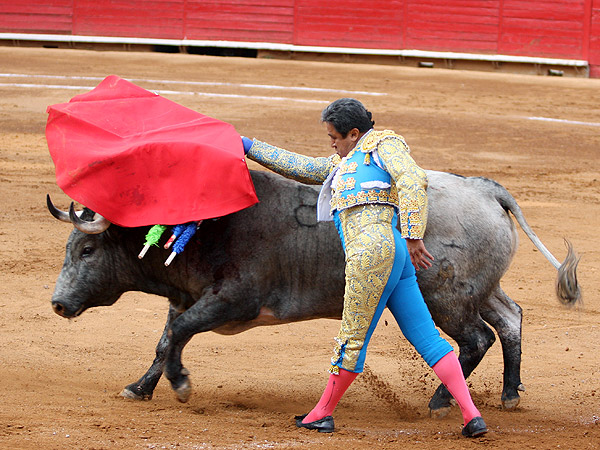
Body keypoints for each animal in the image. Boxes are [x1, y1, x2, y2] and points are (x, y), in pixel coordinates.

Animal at [48, 170, 580, 418]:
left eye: (88, 249)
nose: (57, 303)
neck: (203, 230)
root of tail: (485, 189)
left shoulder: (233, 300)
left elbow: (177, 334)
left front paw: (180, 384)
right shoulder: (188, 299)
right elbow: (165, 341)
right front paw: (140, 387)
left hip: (446, 299)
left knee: (474, 339)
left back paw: (439, 402)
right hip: (482, 290)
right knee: (510, 319)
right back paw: (509, 394)